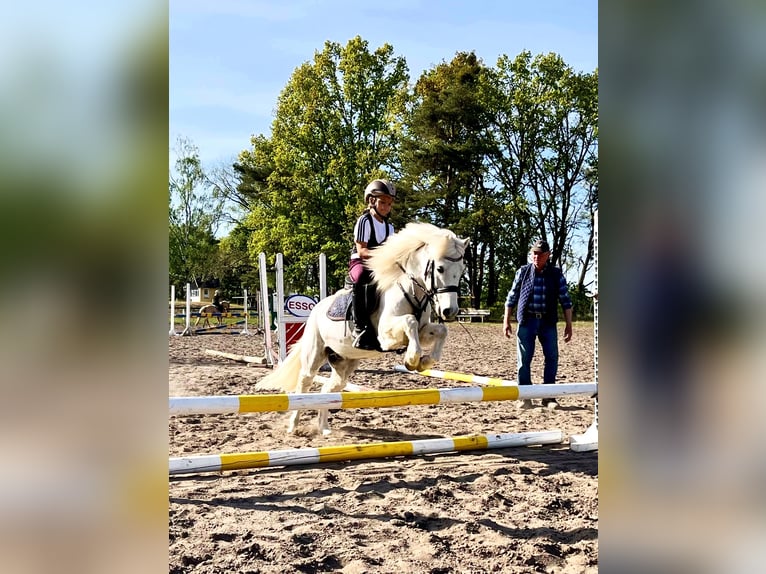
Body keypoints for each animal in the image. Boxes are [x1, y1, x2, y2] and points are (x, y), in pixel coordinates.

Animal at [255, 222, 469, 436]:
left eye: (461, 270)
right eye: (440, 268)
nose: (450, 311)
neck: (410, 290)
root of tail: (316, 309)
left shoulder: (423, 331)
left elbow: (440, 331)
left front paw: (424, 362)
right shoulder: (385, 336)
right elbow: (410, 321)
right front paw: (411, 359)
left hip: (343, 361)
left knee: (329, 390)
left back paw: (324, 429)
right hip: (314, 355)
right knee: (304, 385)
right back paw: (293, 426)